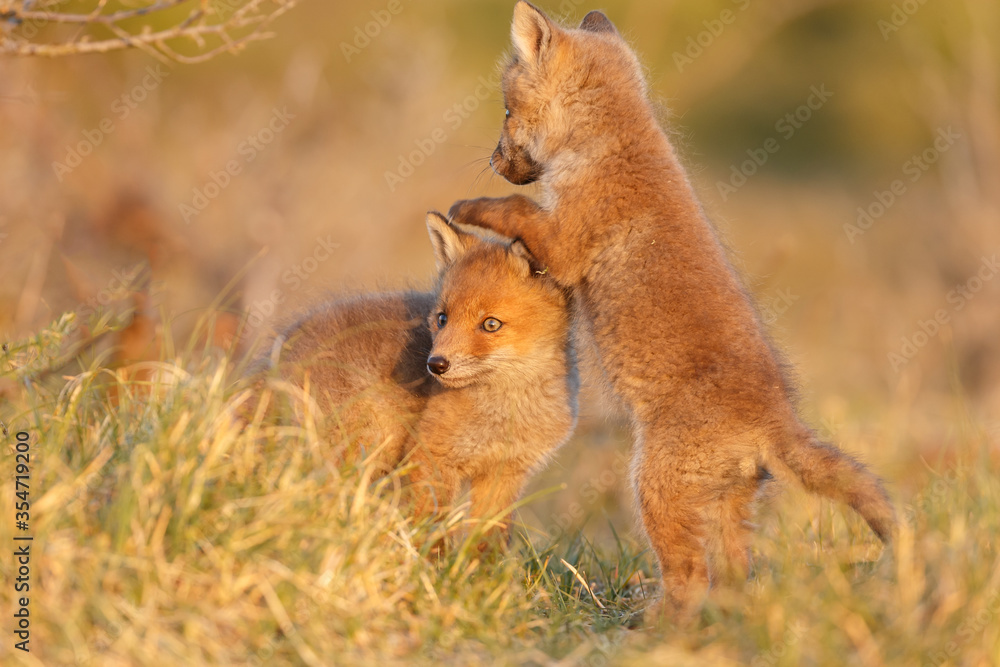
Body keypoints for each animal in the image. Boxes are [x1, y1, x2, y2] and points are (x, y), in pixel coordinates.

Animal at [253, 211, 578, 543]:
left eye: (490, 324)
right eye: (442, 318)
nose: (436, 365)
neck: (506, 413)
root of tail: (269, 365)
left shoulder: (504, 474)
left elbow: (487, 543)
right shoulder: (429, 457)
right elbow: (431, 527)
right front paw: (429, 556)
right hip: (361, 445)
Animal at [447, 2, 897, 617]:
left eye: (507, 111)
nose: (493, 159)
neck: (607, 146)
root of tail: (775, 420)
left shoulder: (564, 242)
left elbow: (515, 208)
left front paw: (467, 208)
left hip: (654, 487)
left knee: (688, 575)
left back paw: (655, 624)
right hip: (727, 506)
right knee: (732, 573)